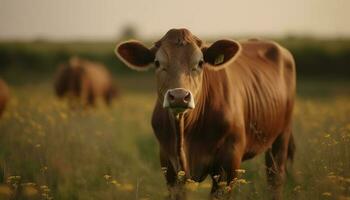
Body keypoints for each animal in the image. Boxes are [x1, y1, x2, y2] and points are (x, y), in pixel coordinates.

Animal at [115, 28, 296, 200]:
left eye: (200, 62)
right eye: (157, 62)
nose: (179, 96)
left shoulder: (228, 164)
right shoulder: (169, 166)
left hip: (282, 136)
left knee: (275, 179)